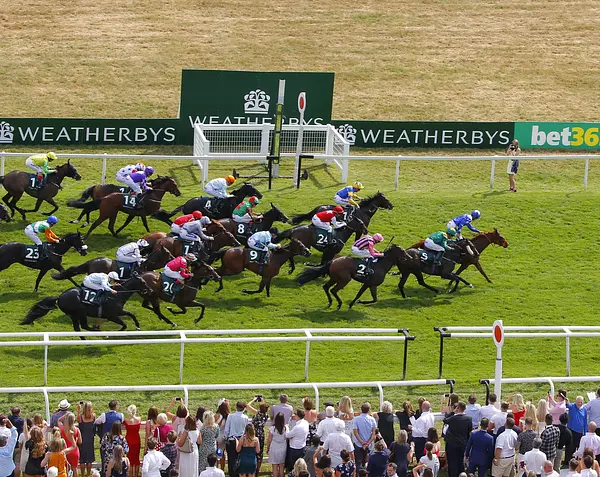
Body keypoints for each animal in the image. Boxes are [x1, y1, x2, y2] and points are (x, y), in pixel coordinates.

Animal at [21, 276, 149, 335]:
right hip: (80, 312)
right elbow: (124, 325)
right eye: (143, 282)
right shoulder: (111, 316)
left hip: (73, 315)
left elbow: (131, 314)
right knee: (84, 326)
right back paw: (98, 332)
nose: (150, 290)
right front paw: (117, 332)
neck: (116, 296)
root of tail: (60, 296)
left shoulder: (119, 311)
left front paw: (138, 326)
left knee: (78, 329)